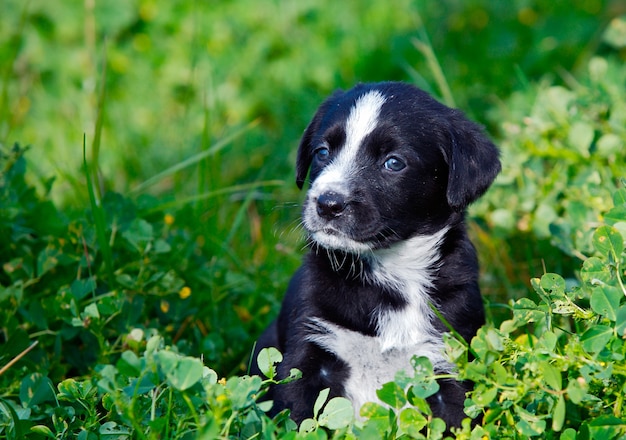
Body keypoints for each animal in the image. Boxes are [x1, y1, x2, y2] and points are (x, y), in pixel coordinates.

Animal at [251, 81, 500, 428]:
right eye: (322, 152)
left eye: (393, 162)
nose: (327, 203)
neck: (390, 274)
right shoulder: (308, 353)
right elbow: (297, 421)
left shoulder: (447, 361)